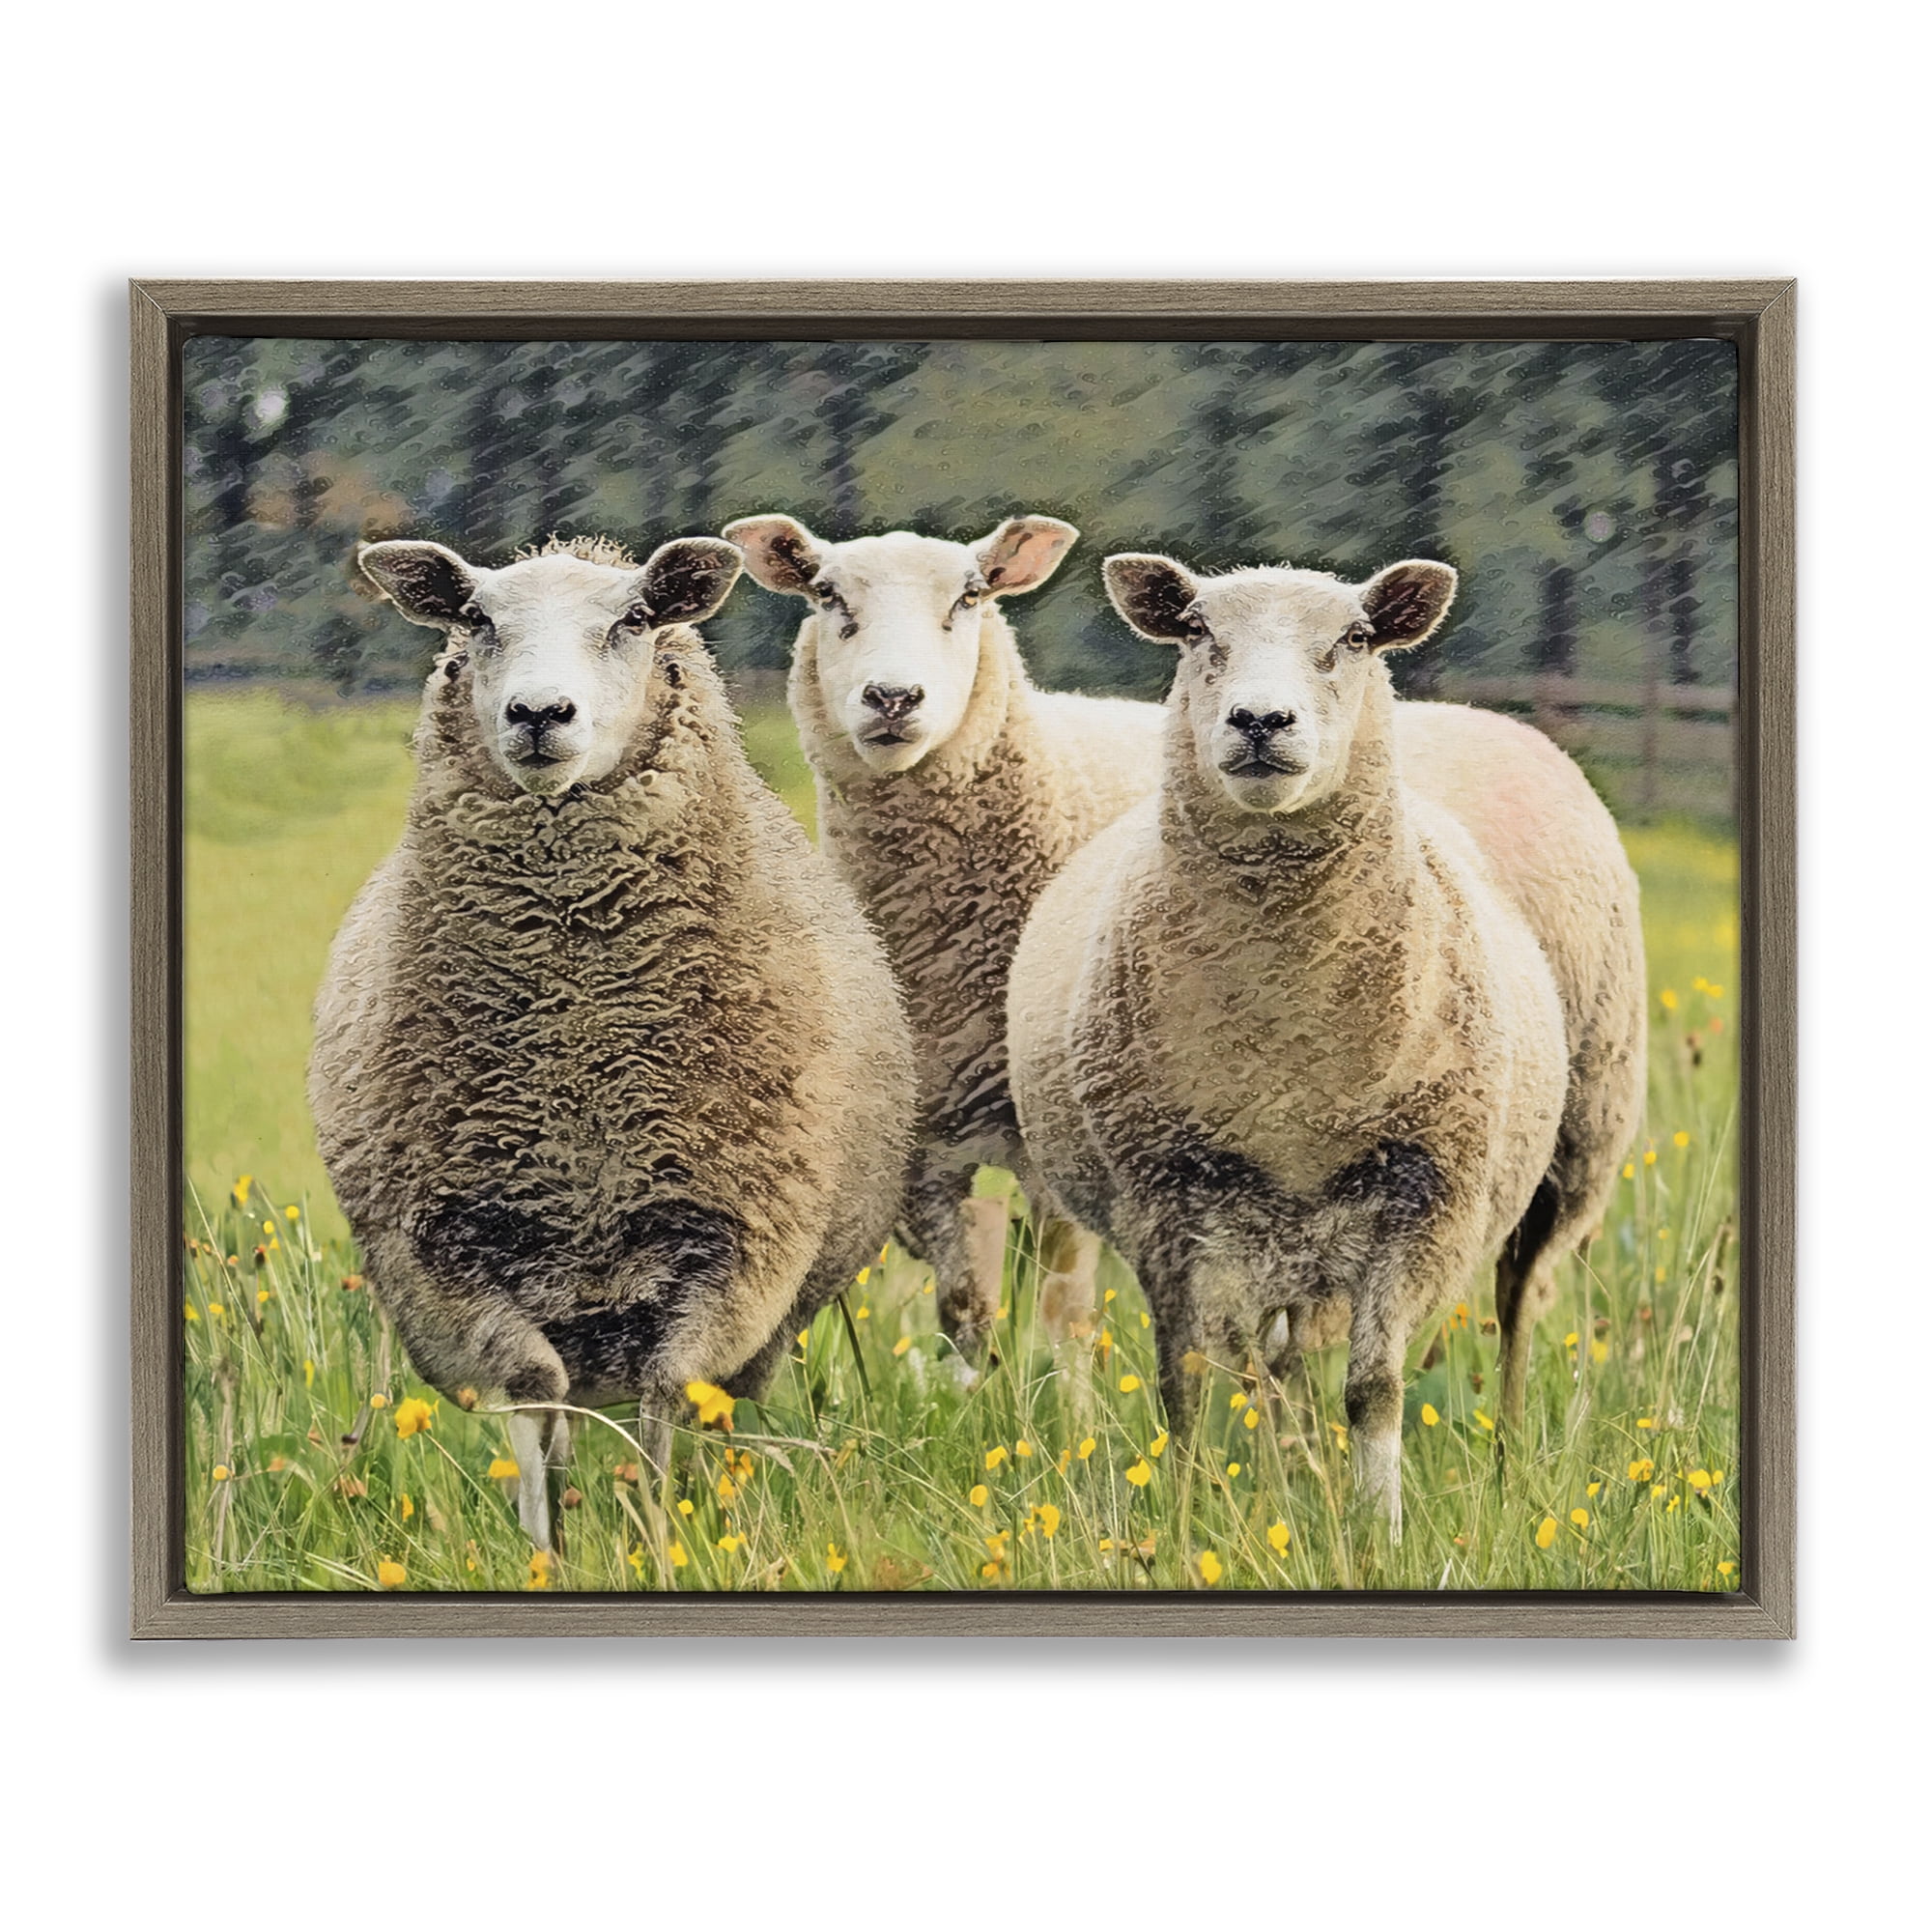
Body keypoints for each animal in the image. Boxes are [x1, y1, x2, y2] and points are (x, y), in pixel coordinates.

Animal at [310, 533, 915, 1549]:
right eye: (474, 618)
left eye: (633, 619)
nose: (539, 714)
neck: (580, 1046)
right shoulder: (448, 1252)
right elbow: (533, 1391)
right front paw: (545, 1547)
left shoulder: (733, 1242)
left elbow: (669, 1395)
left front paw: (661, 1541)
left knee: (700, 1406)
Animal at [722, 512, 1166, 1357]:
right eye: (827, 594)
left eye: (969, 597)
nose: (893, 696)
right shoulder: (921, 1149)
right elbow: (965, 1310)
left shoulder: (1055, 1135)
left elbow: (1061, 1310)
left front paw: (1059, 1391)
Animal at [1006, 552, 1645, 1530]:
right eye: (1196, 630)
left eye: (1354, 638)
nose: (1261, 720)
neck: (1290, 1044)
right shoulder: (1164, 1197)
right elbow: (1187, 1380)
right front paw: (1188, 1515)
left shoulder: (1428, 1192)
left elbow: (1375, 1389)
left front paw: (1378, 1526)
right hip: (1282, 1233)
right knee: (1278, 1363)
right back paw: (1291, 1471)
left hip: (1577, 1147)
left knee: (1519, 1306)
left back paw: (1508, 1462)